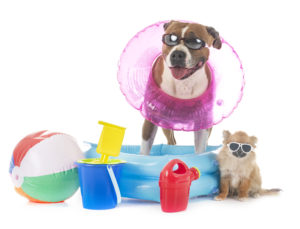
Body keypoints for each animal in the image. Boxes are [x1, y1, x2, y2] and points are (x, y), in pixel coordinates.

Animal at [139, 21, 221, 156]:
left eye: (195, 42)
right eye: (170, 38)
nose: (177, 54)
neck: (183, 83)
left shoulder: (202, 124)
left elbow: (200, 149)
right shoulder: (151, 119)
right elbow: (145, 147)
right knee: (171, 140)